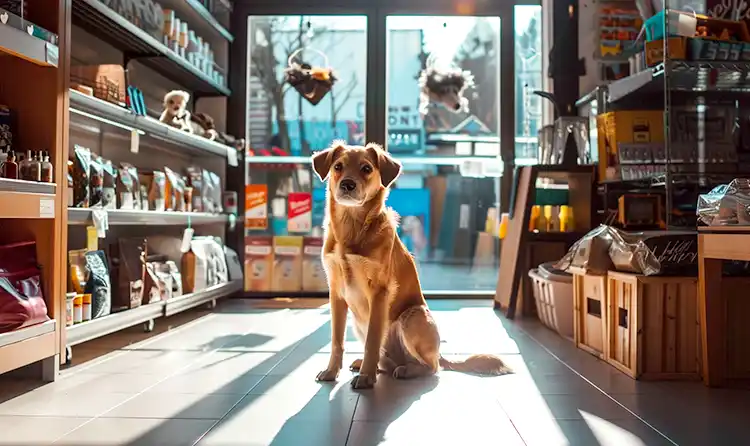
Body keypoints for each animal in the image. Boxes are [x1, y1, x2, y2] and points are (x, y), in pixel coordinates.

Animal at [312, 141, 512, 388]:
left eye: (366, 168)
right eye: (338, 166)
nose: (347, 184)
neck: (351, 228)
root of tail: (439, 354)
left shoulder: (379, 292)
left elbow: (372, 341)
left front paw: (367, 378)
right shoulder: (337, 294)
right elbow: (336, 341)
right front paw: (332, 371)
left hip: (413, 317)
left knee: (431, 367)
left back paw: (404, 370)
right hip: (359, 324)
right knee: (386, 361)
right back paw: (373, 365)